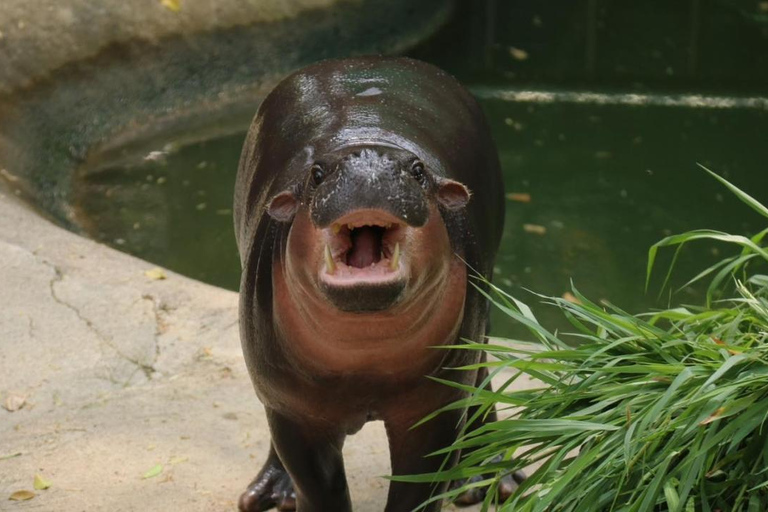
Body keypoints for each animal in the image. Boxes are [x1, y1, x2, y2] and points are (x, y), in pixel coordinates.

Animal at [232, 57, 520, 512]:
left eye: (418, 171)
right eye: (317, 173)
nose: (369, 163)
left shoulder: (434, 409)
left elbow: (419, 487)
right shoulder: (294, 413)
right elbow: (321, 489)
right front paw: (293, 493)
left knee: (481, 379)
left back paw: (489, 481)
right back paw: (271, 494)